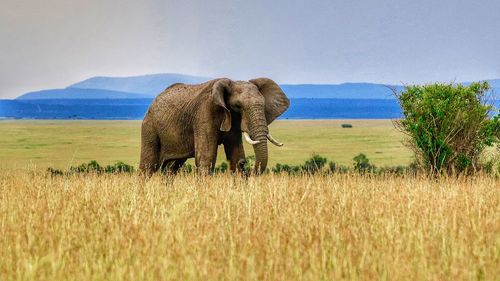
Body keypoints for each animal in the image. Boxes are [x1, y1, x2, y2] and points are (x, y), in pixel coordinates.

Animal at [140, 77, 290, 174]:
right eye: (238, 106)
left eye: (263, 105)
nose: (244, 163)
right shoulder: (204, 114)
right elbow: (207, 158)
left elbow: (235, 153)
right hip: (149, 126)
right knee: (147, 166)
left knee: (172, 168)